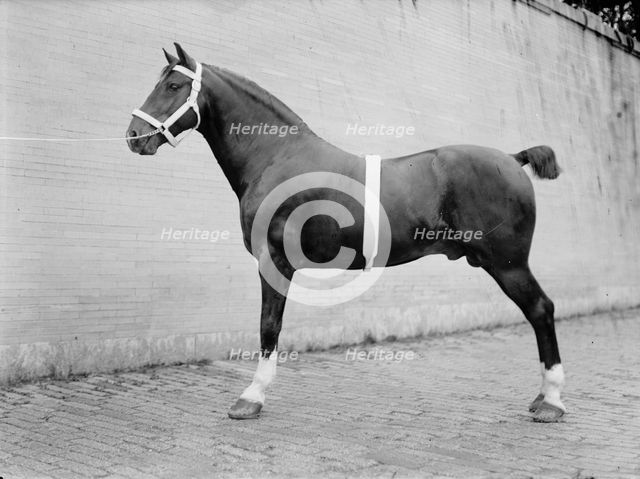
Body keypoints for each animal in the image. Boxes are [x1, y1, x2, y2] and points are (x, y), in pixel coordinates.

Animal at [126, 43, 566, 423]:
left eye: (173, 85)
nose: (133, 136)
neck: (277, 158)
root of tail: (511, 158)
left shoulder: (273, 260)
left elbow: (269, 326)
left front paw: (250, 398)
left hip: (508, 263)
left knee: (541, 310)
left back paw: (552, 402)